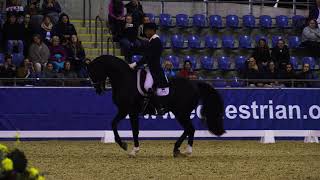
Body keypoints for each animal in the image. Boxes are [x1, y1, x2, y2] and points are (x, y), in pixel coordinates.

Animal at [87, 55, 225, 158]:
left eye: (93, 72)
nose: (98, 90)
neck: (125, 79)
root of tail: (195, 84)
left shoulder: (128, 110)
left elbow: (129, 129)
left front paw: (130, 148)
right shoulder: (126, 111)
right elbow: (118, 125)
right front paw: (127, 146)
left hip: (181, 113)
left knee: (190, 129)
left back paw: (186, 150)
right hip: (181, 113)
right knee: (188, 129)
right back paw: (178, 149)